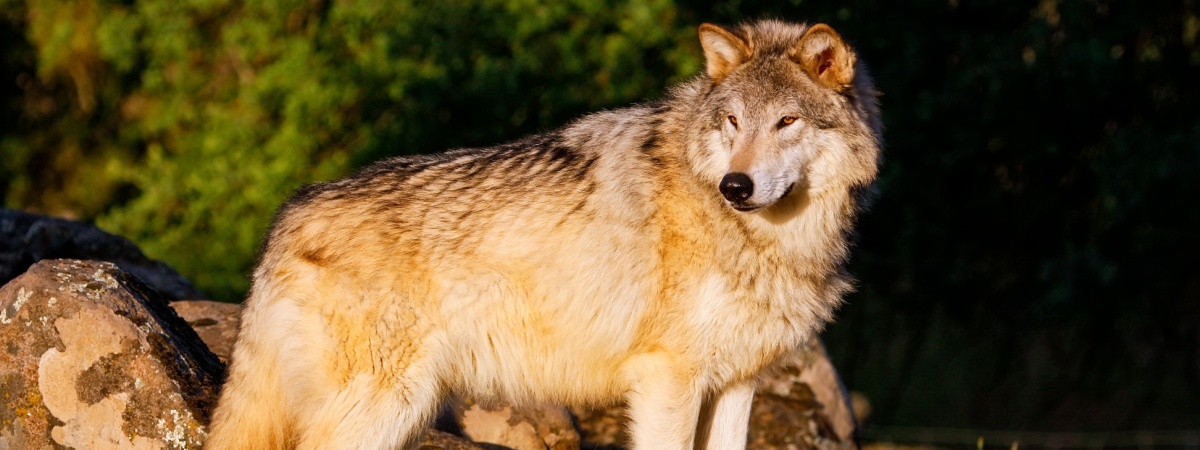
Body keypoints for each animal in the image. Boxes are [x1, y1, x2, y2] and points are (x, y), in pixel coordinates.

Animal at [206, 19, 881, 450]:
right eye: (734, 121)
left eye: (787, 121)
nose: (735, 185)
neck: (764, 238)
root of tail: (288, 213)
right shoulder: (668, 379)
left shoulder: (737, 382)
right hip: (384, 405)